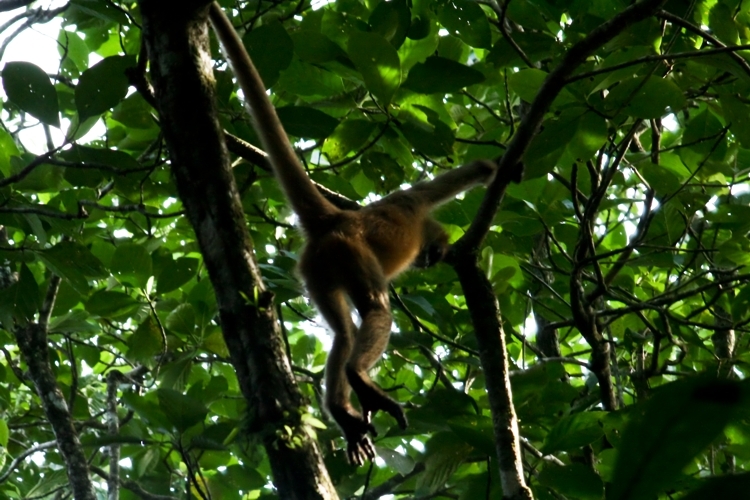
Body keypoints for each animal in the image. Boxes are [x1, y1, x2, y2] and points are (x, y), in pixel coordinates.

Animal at [206, 3, 500, 464]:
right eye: (429, 254)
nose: (428, 259)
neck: (418, 224)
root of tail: (338, 221)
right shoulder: (412, 202)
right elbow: (469, 174)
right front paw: (500, 169)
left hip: (317, 269)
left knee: (344, 333)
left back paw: (342, 409)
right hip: (351, 252)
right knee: (377, 309)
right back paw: (358, 378)